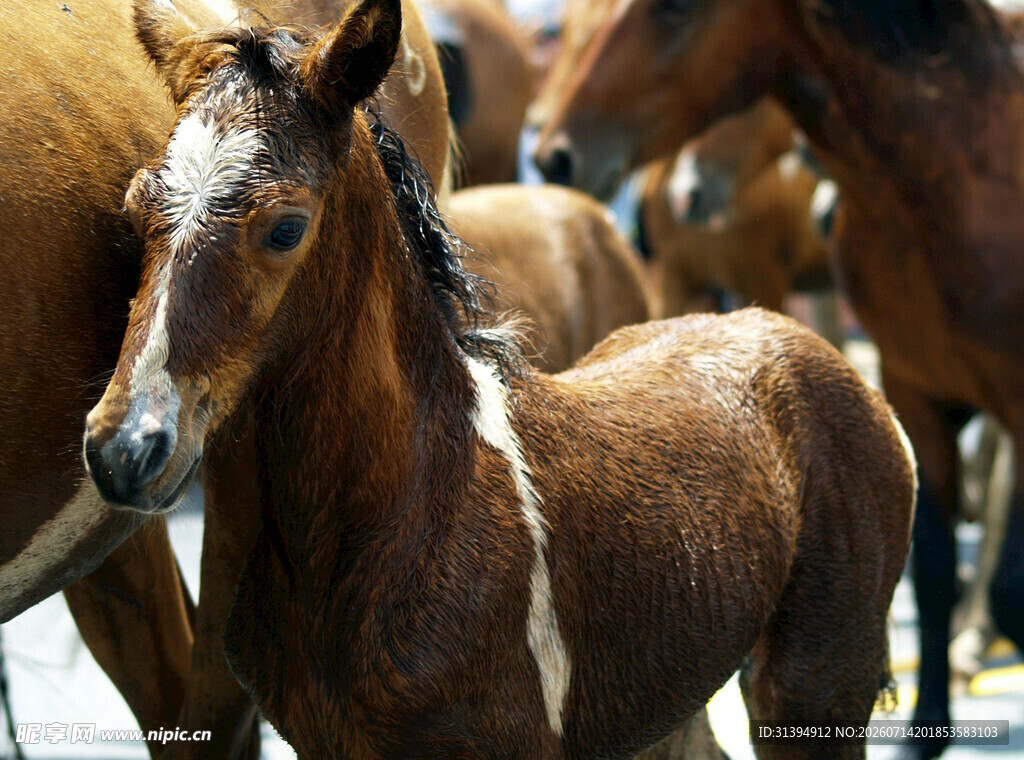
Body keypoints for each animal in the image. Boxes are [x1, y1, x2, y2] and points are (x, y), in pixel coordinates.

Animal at [81, 1, 916, 757]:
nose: (126, 448)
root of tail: (794, 336)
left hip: (817, 691)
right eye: (135, 207)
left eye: (285, 228)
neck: (420, 502)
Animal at [533, 1, 1024, 757]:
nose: (556, 156)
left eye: (674, 10)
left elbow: (1007, 583)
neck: (954, 174)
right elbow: (937, 572)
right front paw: (924, 730)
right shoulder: (915, 385)